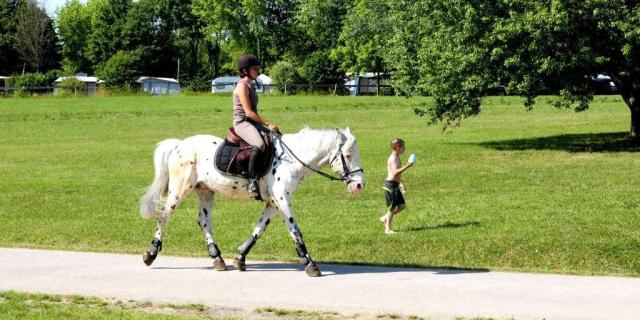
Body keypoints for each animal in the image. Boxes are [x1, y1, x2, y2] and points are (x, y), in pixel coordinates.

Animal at [138, 126, 364, 276]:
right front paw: (310, 263)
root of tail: (179, 145)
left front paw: (240, 258)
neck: (291, 160)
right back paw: (151, 253)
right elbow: (295, 231)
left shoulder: (274, 203)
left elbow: (259, 229)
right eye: (348, 155)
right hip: (179, 189)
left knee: (204, 222)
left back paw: (217, 258)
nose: (359, 185)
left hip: (206, 191)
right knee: (164, 215)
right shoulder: (282, 200)